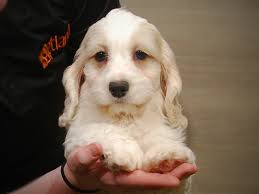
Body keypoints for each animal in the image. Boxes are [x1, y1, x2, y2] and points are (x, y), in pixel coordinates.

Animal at [59, 8, 196, 193]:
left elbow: (159, 135)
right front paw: (124, 150)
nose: (118, 87)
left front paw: (167, 154)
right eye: (100, 55)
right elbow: (99, 128)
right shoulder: (78, 132)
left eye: (140, 54)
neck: (125, 116)